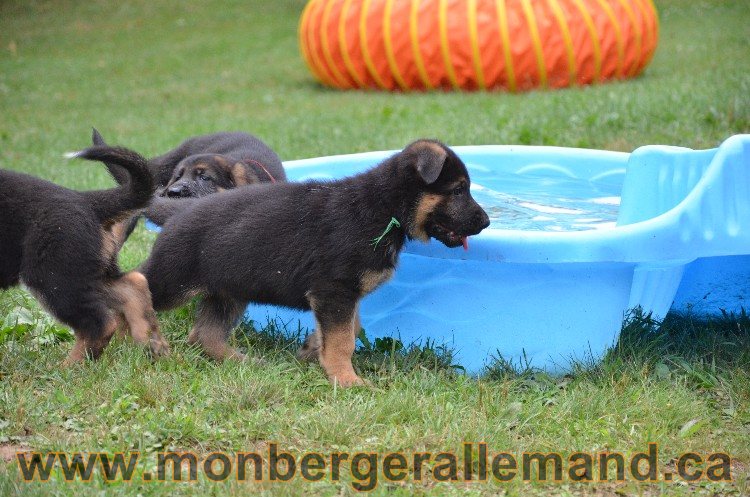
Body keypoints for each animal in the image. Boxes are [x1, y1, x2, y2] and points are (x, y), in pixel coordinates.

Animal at [0, 145, 170, 362]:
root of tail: (86, 200)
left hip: (53, 275)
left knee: (99, 324)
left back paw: (70, 367)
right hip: (84, 269)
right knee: (133, 285)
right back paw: (152, 344)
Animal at [142, 140, 494, 384]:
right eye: (459, 190)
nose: (486, 221)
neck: (383, 207)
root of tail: (180, 209)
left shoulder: (342, 296)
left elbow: (352, 328)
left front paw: (313, 349)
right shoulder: (334, 290)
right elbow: (342, 340)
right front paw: (347, 379)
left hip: (228, 290)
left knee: (204, 335)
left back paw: (244, 362)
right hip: (173, 279)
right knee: (136, 283)